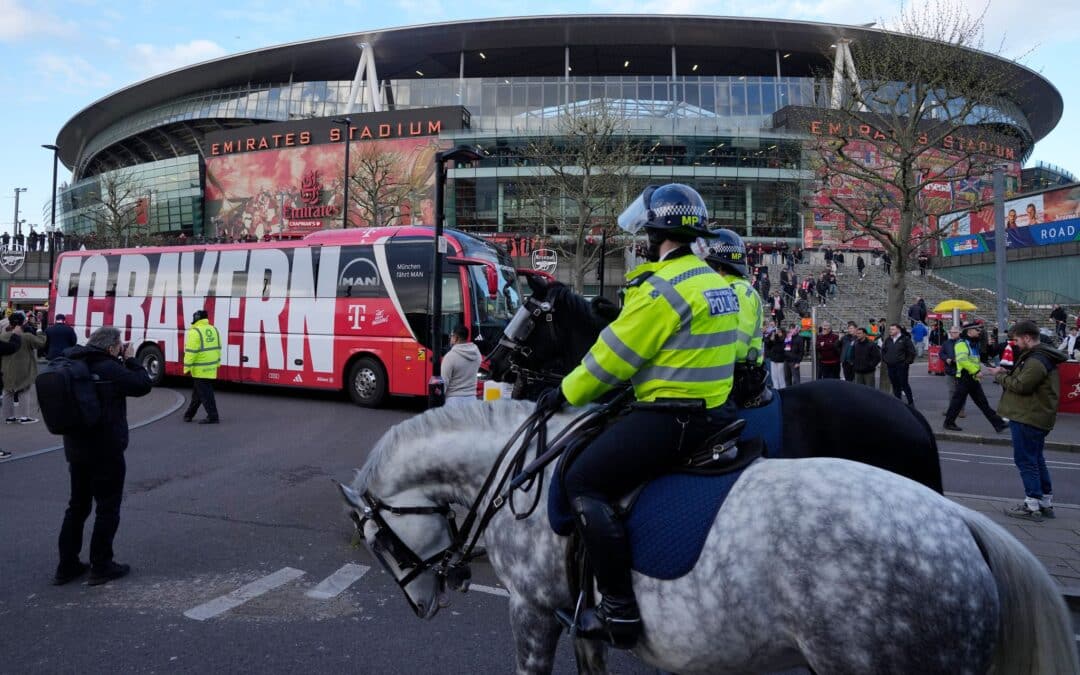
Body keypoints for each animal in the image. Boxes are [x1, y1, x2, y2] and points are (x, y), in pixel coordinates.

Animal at [343, 399, 1080, 673]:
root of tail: (959, 522)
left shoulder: (533, 608)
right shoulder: (577, 618)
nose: (423, 601)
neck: (525, 472)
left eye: (379, 541)